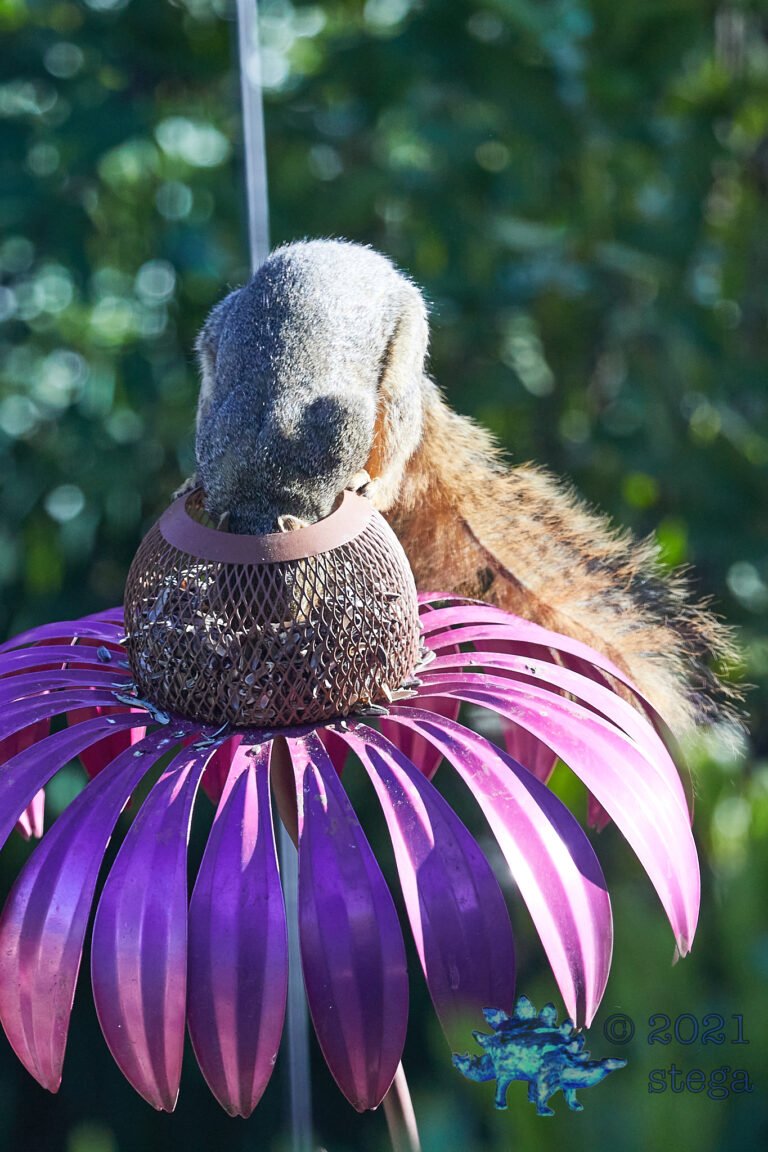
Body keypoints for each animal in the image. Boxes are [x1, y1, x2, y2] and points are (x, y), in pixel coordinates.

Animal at [183, 238, 740, 737]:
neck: (263, 488)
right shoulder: (216, 434)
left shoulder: (338, 429)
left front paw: (364, 486)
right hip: (212, 338)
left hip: (401, 366)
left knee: (393, 446)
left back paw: (369, 486)